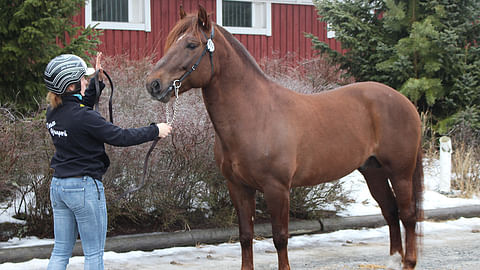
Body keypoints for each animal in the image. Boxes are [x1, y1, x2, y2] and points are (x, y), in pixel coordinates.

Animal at [146, 6, 424, 270]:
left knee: (408, 215)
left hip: (400, 172)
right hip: (373, 171)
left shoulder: (277, 188)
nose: (153, 84)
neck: (254, 115)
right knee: (390, 211)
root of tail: (404, 101)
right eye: (171, 42)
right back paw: (394, 260)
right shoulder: (238, 187)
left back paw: (409, 261)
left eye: (191, 44)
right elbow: (245, 236)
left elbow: (280, 238)